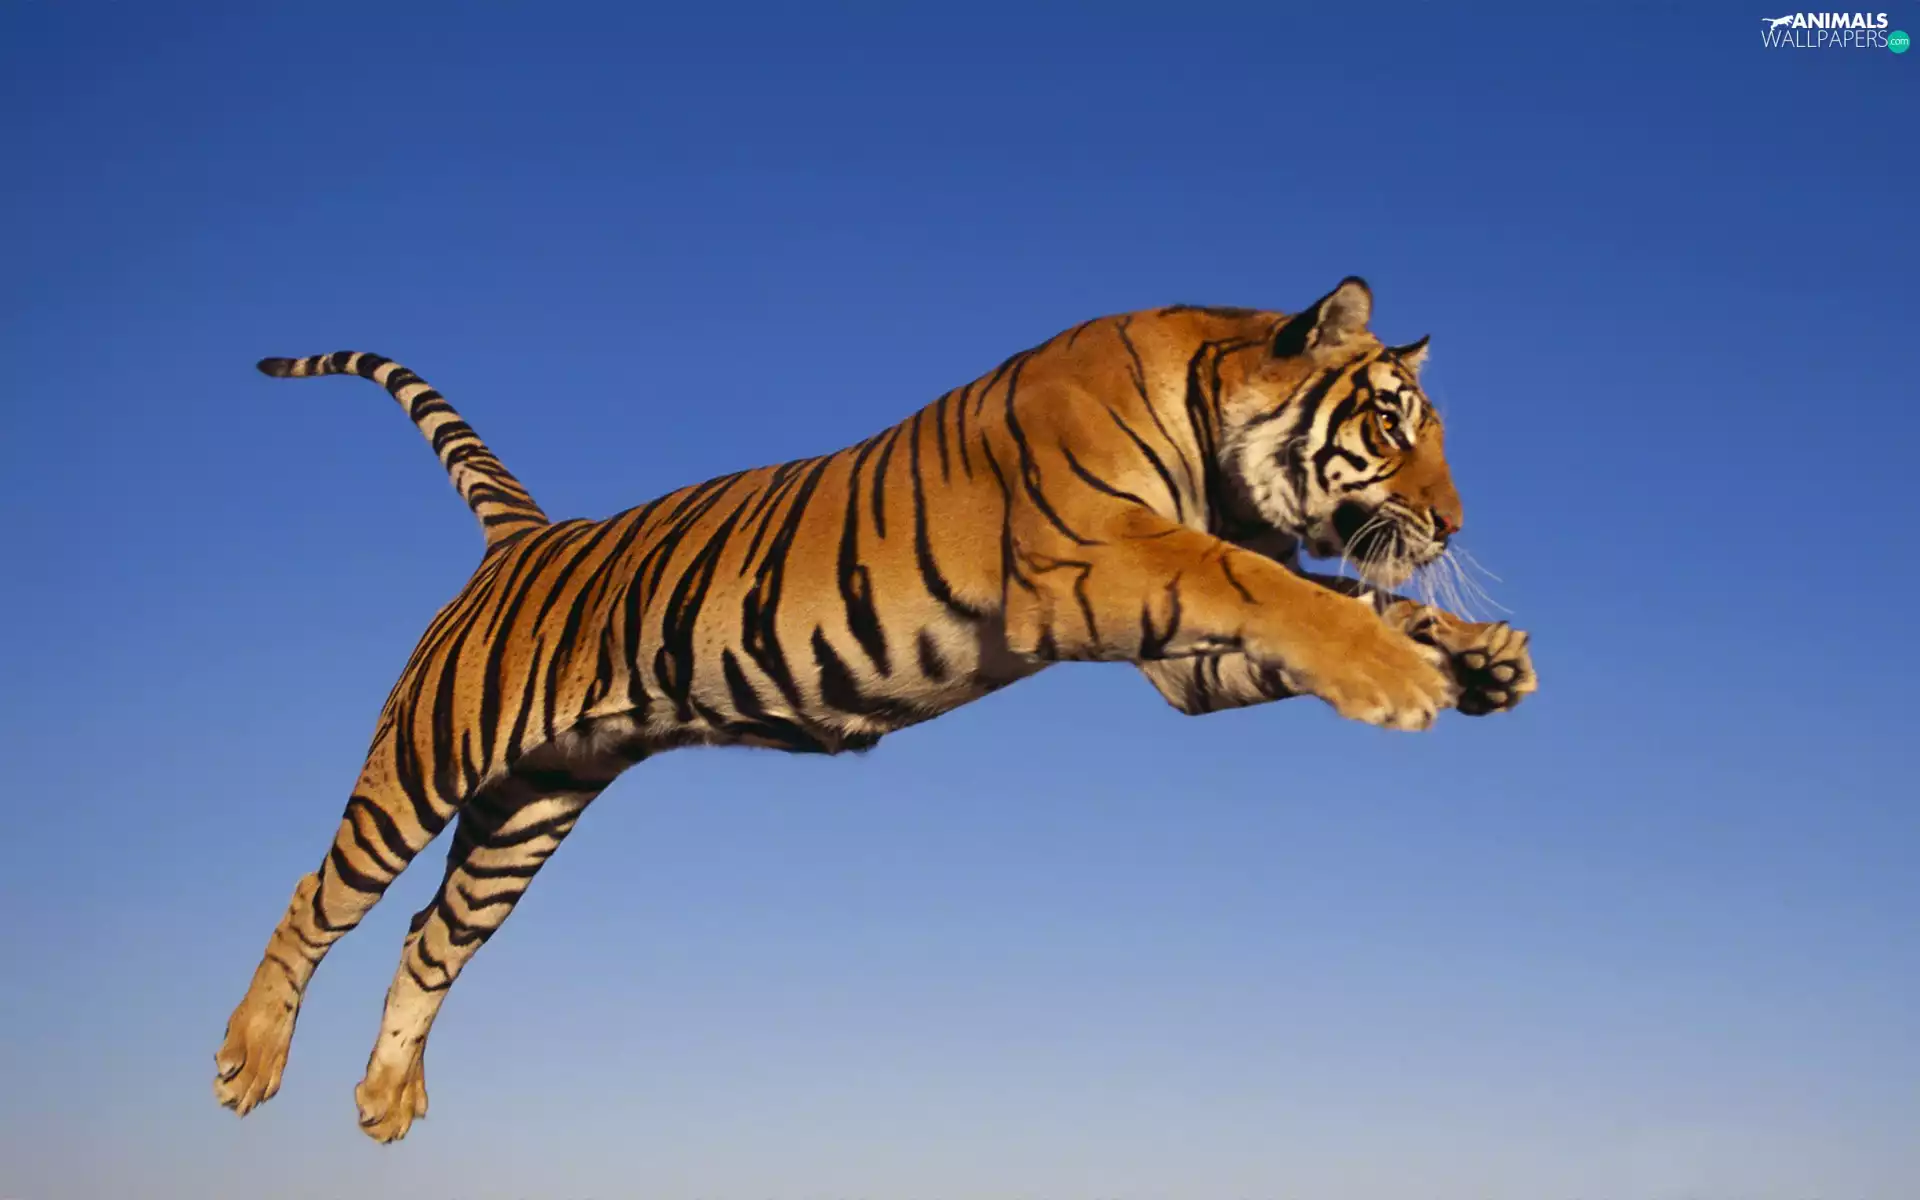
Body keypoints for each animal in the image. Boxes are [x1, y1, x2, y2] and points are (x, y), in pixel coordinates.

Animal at [213, 276, 1537, 1143]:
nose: (1455, 525)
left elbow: (1337, 597)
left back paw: (386, 1101)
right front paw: (1401, 677)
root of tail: (526, 535)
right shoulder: (1105, 561)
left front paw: (1481, 657)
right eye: (1389, 425)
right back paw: (247, 1060)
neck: (1215, 442)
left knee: (431, 935)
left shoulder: (1177, 660)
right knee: (320, 894)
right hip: (427, 759)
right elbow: (1283, 588)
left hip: (531, 808)